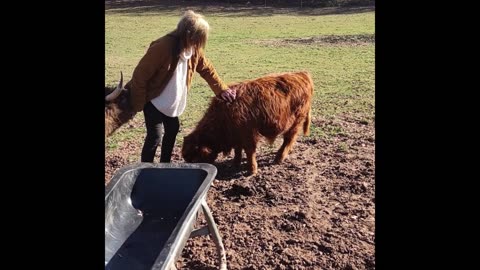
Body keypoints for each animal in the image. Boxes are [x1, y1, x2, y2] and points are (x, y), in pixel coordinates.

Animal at [182, 70, 314, 174]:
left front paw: (252, 170)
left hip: (296, 121)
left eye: (194, 158)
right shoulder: (237, 135)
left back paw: (279, 158)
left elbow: (250, 152)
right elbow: (238, 150)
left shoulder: (248, 134)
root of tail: (302, 74)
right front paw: (235, 164)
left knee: (289, 138)